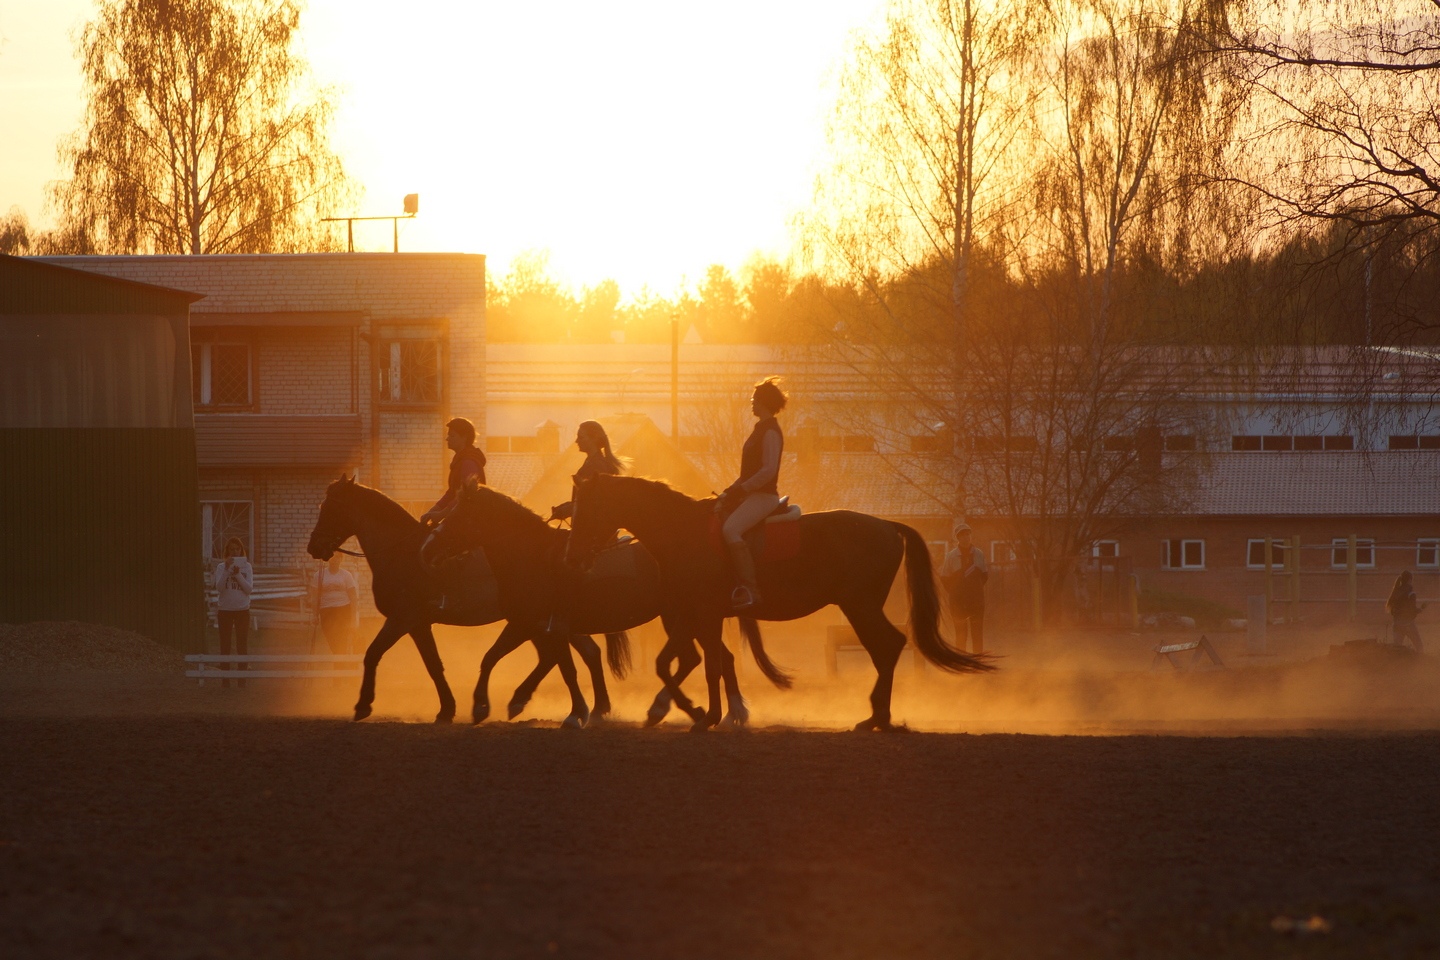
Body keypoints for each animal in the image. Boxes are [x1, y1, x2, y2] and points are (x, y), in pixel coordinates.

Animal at [308, 474, 607, 728]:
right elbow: (433, 665)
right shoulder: (418, 625)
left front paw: (363, 705)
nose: (314, 547)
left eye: (330, 508)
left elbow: (373, 654)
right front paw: (447, 710)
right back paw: (594, 708)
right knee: (583, 653)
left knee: (560, 656)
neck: (401, 553)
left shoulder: (403, 619)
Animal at [417, 483, 662, 725]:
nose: (427, 550)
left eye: (462, 516)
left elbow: (567, 670)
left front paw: (575, 714)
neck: (534, 560)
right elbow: (491, 657)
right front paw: (482, 707)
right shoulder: (526, 624)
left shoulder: (548, 627)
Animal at [567, 477, 996, 731]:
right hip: (860, 607)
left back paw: (878, 716)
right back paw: (877, 716)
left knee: (888, 646)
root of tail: (887, 525)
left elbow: (700, 665)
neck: (682, 532)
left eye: (588, 506)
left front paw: (700, 714)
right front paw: (704, 713)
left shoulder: (701, 614)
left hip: (860, 606)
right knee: (885, 649)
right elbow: (689, 663)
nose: (575, 556)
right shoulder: (693, 615)